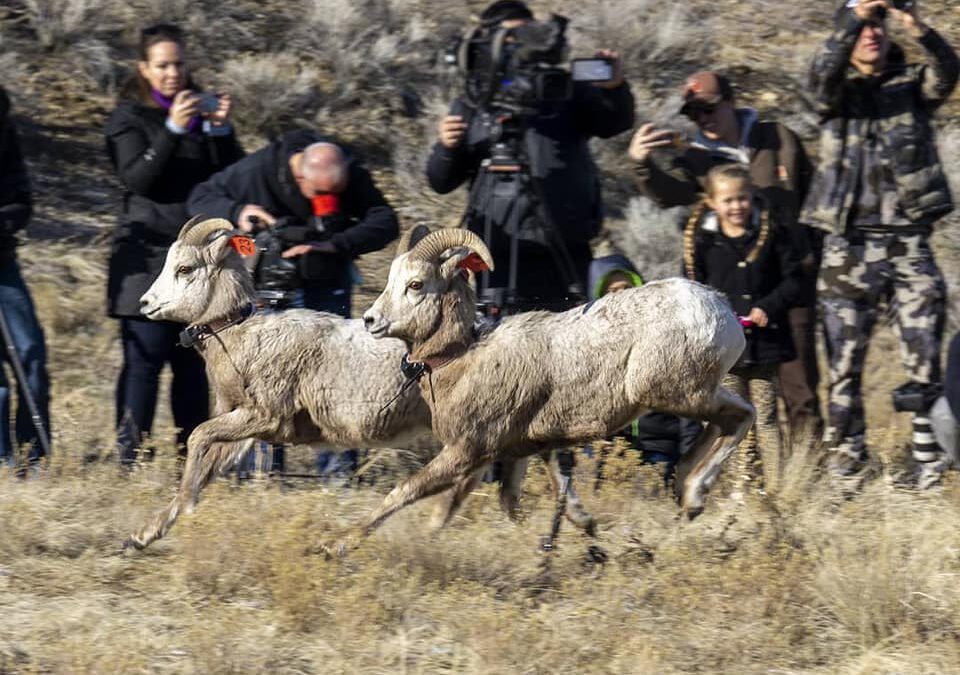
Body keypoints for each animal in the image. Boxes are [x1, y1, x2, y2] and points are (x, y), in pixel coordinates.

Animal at [349, 226, 755, 545]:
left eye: (415, 285)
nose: (371, 320)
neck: (465, 356)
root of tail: (720, 309)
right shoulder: (513, 452)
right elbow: (513, 501)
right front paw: (583, 528)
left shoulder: (468, 452)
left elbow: (412, 494)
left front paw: (345, 544)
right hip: (692, 392)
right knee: (723, 426)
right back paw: (687, 491)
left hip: (676, 392)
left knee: (741, 416)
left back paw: (695, 496)